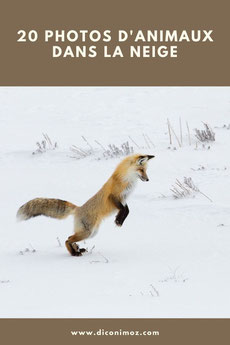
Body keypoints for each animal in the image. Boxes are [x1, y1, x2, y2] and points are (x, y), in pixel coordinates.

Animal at [17, 153, 155, 255]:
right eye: (141, 170)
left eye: (146, 170)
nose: (148, 179)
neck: (127, 180)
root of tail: (78, 208)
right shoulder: (113, 196)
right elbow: (123, 209)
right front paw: (118, 220)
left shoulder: (124, 199)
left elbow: (127, 210)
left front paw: (119, 219)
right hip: (87, 232)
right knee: (67, 239)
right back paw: (74, 253)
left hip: (92, 233)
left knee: (70, 237)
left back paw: (77, 250)